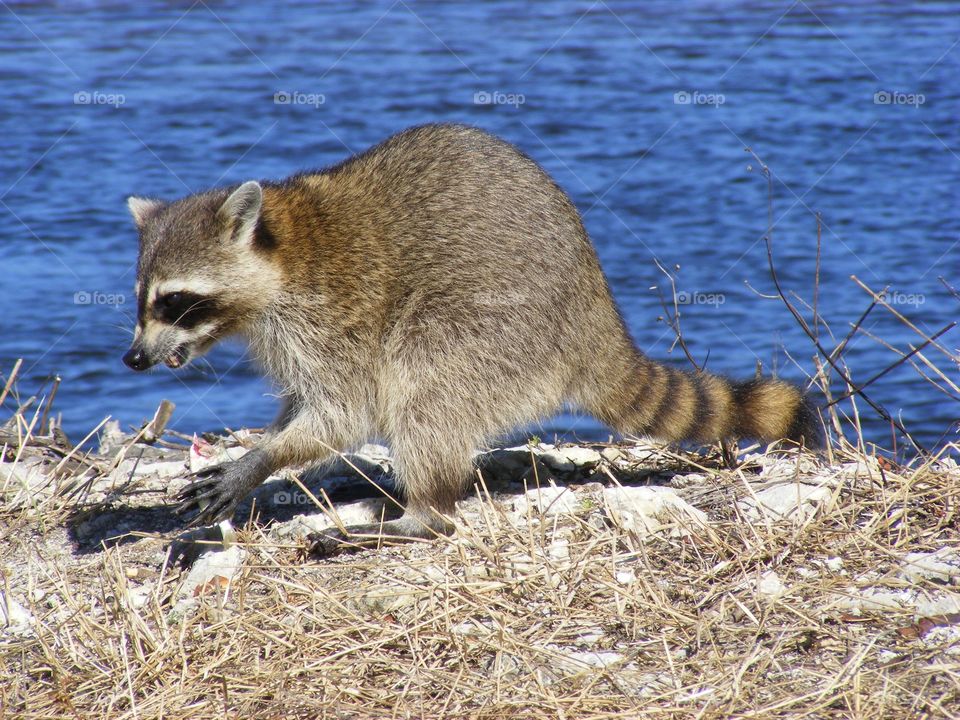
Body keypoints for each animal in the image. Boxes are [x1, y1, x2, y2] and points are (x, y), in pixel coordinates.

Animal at [124, 123, 820, 555]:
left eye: (174, 301)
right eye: (141, 298)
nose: (133, 358)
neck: (281, 253)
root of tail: (594, 315)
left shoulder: (333, 316)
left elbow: (344, 411)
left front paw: (259, 460)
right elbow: (308, 407)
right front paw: (262, 453)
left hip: (493, 329)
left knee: (424, 386)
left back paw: (423, 515)